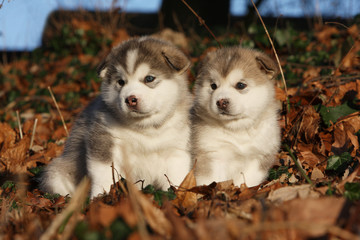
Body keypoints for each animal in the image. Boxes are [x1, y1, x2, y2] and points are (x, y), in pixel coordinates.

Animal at [39, 36, 193, 196]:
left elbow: (176, 178)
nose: (130, 99)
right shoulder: (104, 142)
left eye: (149, 78)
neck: (144, 128)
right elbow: (104, 176)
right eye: (121, 82)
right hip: (56, 173)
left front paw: (176, 195)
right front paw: (100, 197)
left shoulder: (176, 151)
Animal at [191, 47, 282, 188]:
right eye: (213, 86)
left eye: (240, 85)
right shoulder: (210, 154)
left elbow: (248, 180)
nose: (221, 102)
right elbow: (210, 180)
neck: (238, 129)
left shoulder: (258, 156)